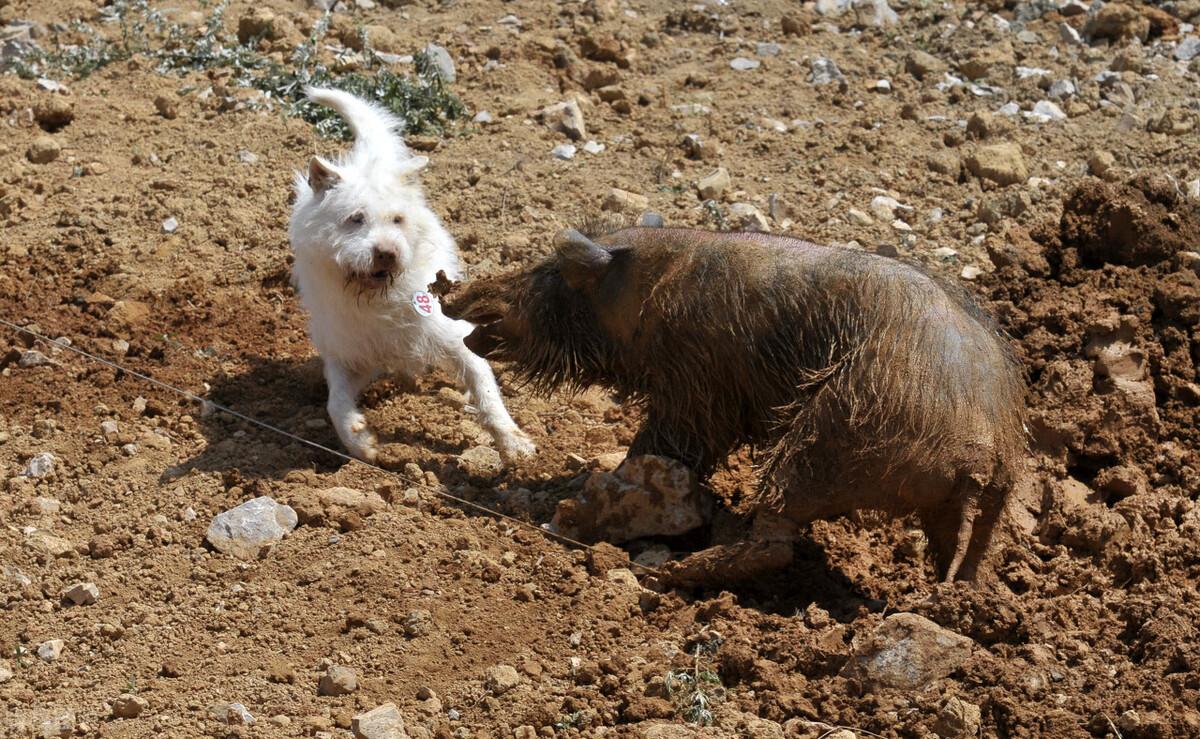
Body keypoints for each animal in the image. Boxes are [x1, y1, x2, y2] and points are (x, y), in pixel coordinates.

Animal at [285, 86, 535, 460]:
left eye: (397, 220)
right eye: (356, 218)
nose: (387, 253)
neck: (378, 300)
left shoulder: (453, 336)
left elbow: (487, 391)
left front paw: (513, 443)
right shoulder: (349, 356)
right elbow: (336, 404)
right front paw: (360, 442)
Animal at [436, 215, 1027, 580]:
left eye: (555, 272)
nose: (446, 285)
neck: (652, 294)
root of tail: (989, 453)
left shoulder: (696, 388)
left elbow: (661, 448)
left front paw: (572, 510)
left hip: (832, 436)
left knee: (776, 540)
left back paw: (667, 573)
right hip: (984, 507)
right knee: (967, 565)